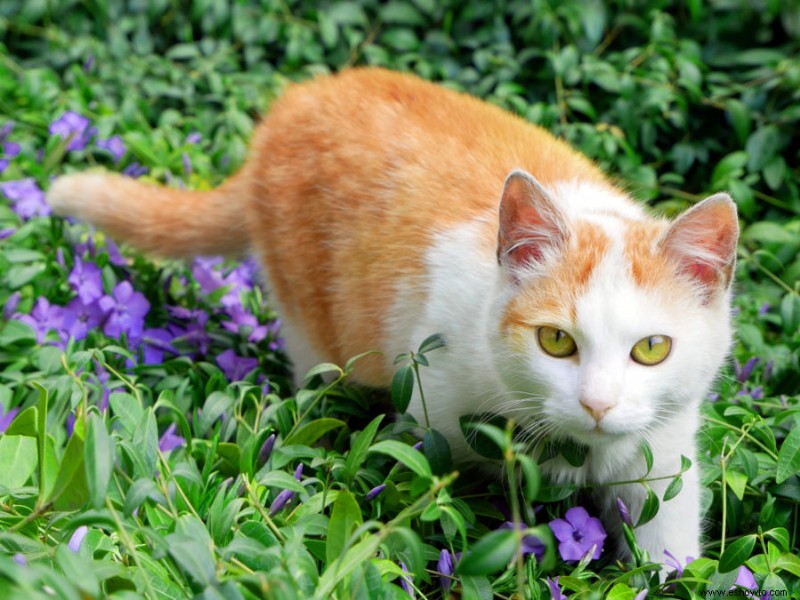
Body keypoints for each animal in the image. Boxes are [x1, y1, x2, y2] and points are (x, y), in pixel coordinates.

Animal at [48, 68, 736, 564]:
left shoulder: (664, 460)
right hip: (313, 328)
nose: (597, 404)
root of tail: (294, 101)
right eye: (556, 341)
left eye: (651, 349)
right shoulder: (430, 424)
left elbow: (668, 552)